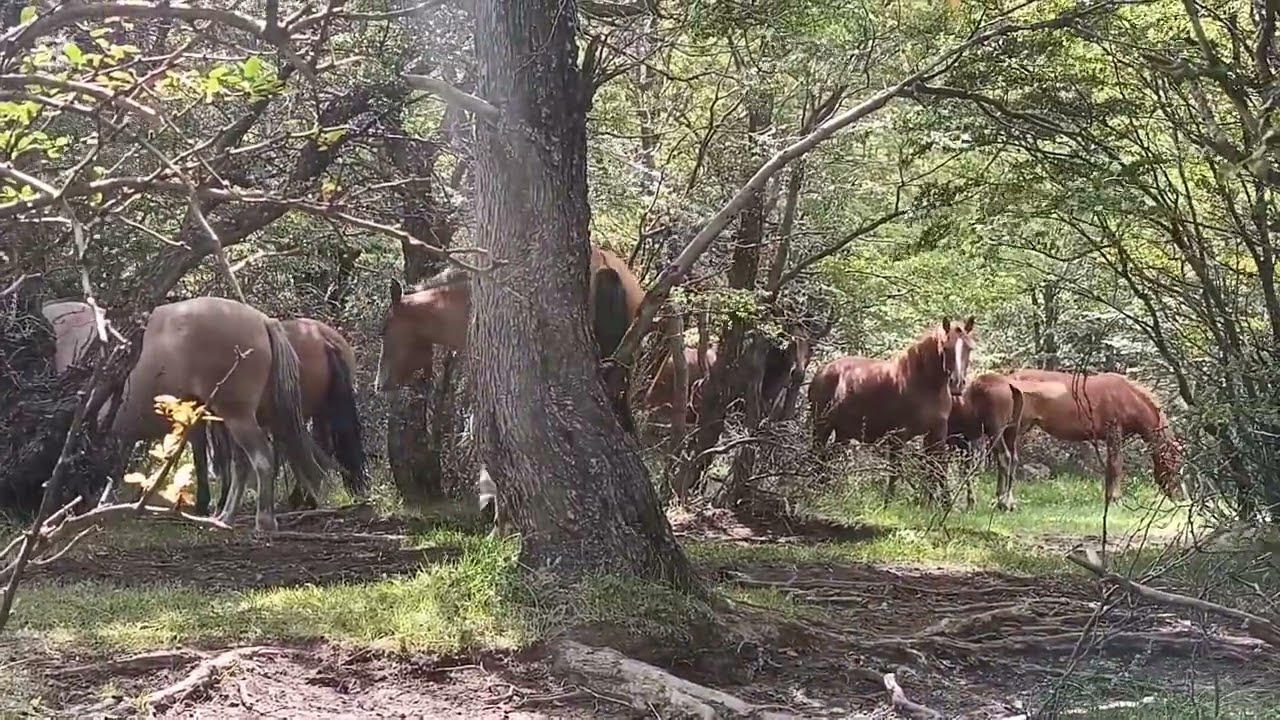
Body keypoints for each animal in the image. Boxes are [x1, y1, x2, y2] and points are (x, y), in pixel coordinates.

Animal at [105, 296, 335, 532]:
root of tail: (263, 320)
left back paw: (263, 520)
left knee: (262, 459)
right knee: (241, 464)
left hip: (238, 416)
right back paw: (226, 516)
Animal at [190, 317, 368, 516]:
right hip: (320, 409)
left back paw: (301, 498)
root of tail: (324, 340)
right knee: (320, 446)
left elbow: (205, 454)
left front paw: (211, 502)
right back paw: (304, 498)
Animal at [808, 317, 976, 506]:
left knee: (829, 459)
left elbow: (937, 469)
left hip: (843, 432)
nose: (957, 383)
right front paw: (888, 503)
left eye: (969, 348)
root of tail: (822, 371)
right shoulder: (899, 435)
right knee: (817, 456)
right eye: (946, 348)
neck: (924, 384)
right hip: (822, 426)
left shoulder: (937, 433)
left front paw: (939, 505)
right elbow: (896, 470)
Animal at [1003, 368, 1185, 506]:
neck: (1128, 398)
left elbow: (1111, 466)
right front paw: (1116, 499)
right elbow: (1116, 465)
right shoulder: (1114, 432)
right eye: (1174, 465)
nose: (1182, 498)